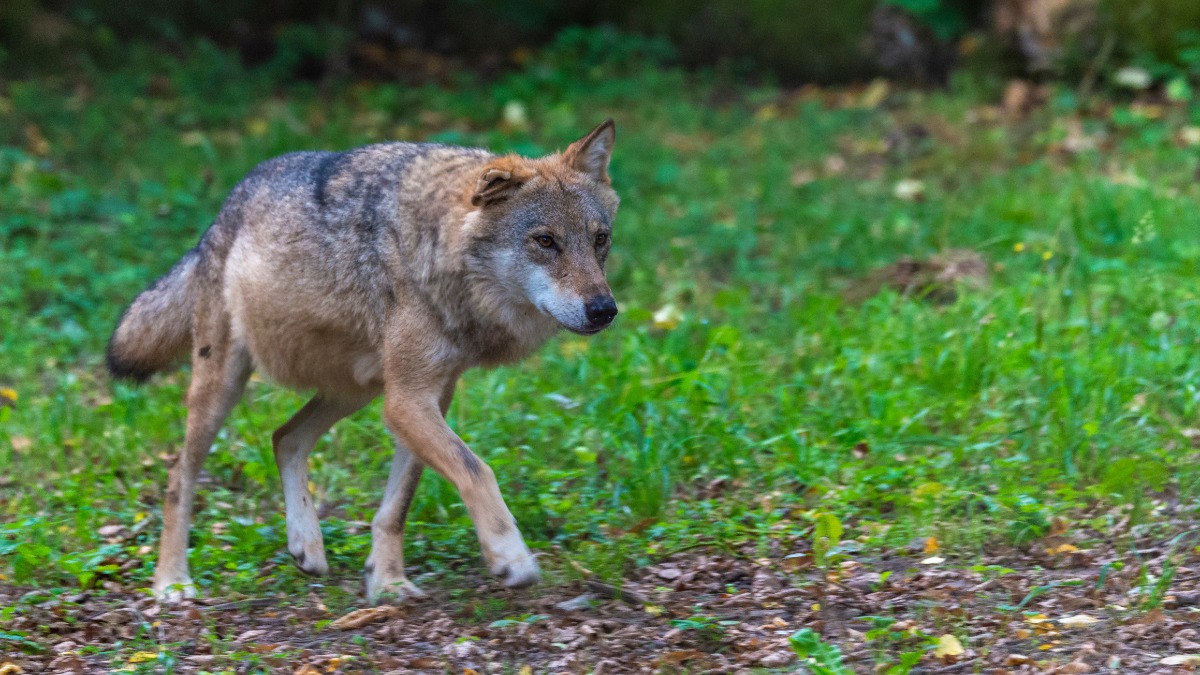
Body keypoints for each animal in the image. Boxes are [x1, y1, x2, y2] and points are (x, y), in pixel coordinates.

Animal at [105, 119, 619, 598]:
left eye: (600, 240)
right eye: (545, 241)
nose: (605, 310)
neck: (437, 252)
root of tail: (222, 212)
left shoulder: (429, 398)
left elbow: (397, 507)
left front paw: (388, 583)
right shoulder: (408, 403)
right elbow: (478, 470)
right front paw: (510, 557)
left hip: (357, 390)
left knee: (285, 437)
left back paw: (306, 545)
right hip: (225, 387)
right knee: (180, 476)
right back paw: (171, 582)